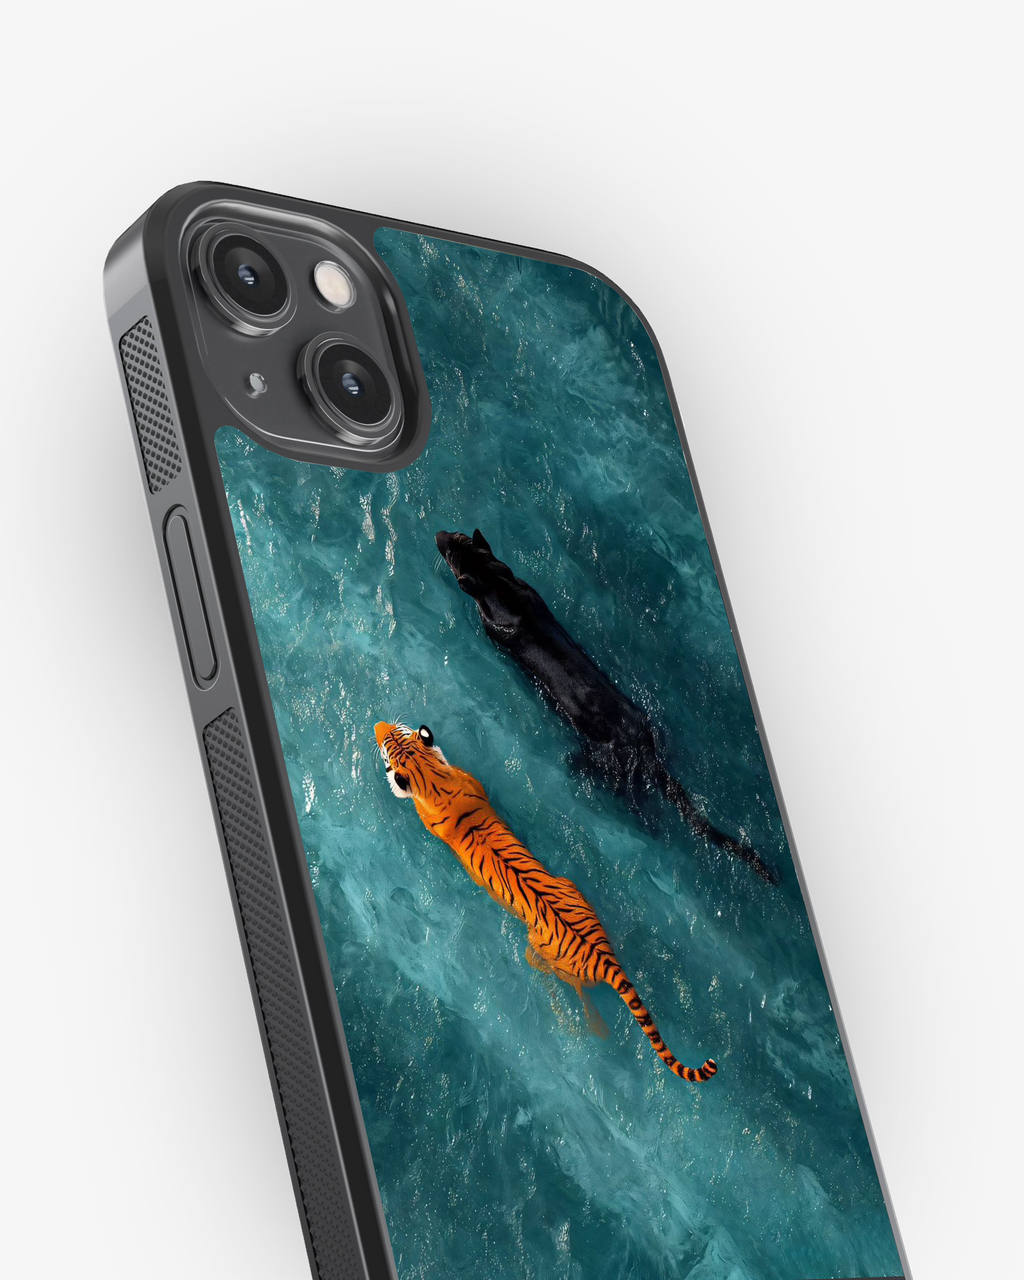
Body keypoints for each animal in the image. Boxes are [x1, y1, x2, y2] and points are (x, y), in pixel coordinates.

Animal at [374, 720, 717, 1083]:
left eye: (387, 745)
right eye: (394, 734)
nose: (379, 725)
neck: (433, 778)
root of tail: (605, 959)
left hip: (540, 951)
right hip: (572, 887)